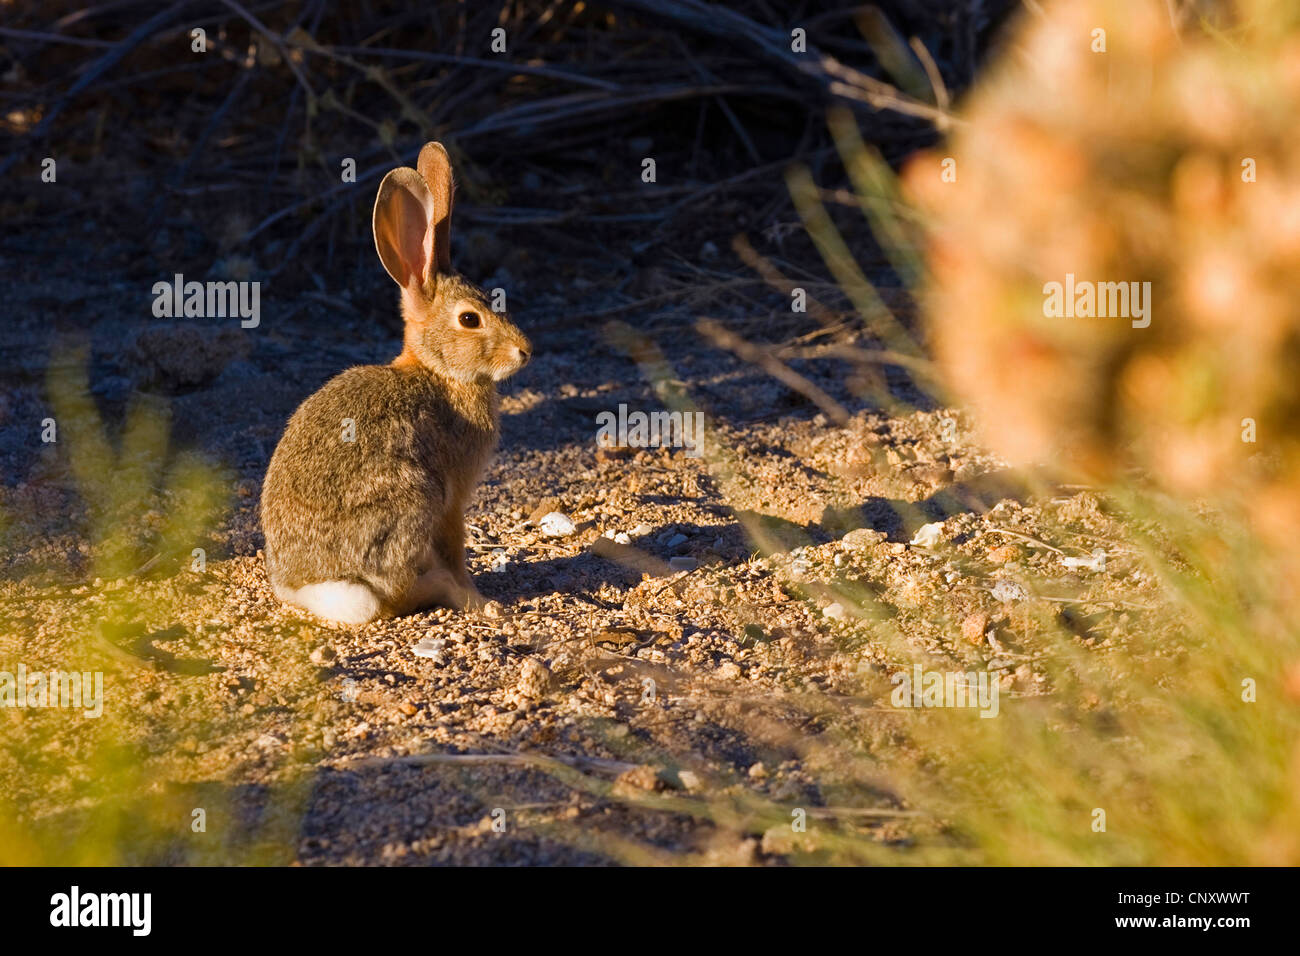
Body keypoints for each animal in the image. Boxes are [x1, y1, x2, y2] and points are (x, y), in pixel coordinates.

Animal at [260, 142, 532, 625]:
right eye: (470, 319)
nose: (525, 350)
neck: (437, 372)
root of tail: (305, 588)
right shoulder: (452, 498)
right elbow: (456, 551)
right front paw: (480, 599)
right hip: (412, 501)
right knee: (395, 594)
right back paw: (445, 590)